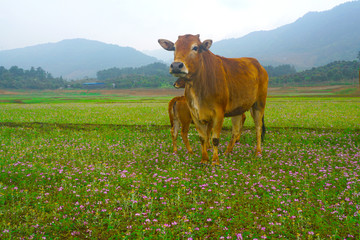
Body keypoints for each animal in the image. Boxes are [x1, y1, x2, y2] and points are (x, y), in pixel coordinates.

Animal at [160, 34, 268, 165]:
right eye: (174, 47)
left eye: (195, 47)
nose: (176, 66)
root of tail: (259, 66)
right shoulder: (195, 114)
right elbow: (202, 137)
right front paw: (204, 159)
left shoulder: (218, 114)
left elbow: (215, 138)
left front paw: (215, 160)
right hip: (237, 110)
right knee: (235, 130)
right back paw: (227, 152)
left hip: (259, 104)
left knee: (258, 128)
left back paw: (258, 152)